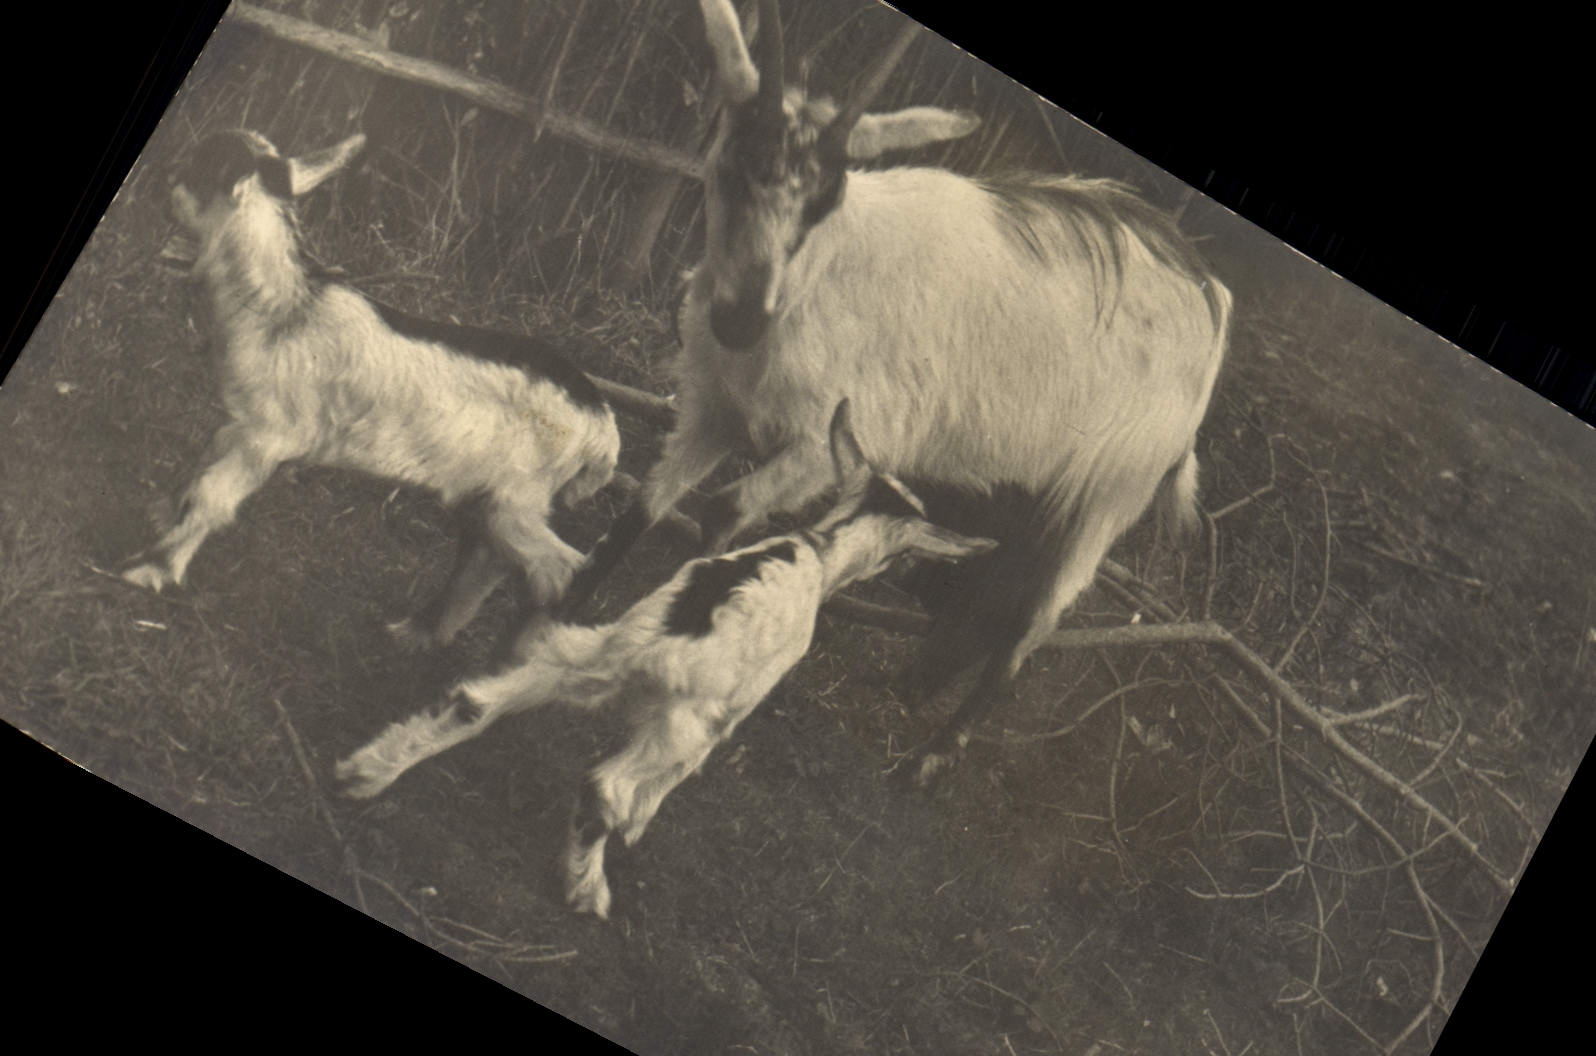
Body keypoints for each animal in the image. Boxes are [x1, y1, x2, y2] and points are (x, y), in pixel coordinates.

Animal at [119, 130, 620, 647]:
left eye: (197, 169)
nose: (159, 181)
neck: (283, 307)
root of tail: (603, 427)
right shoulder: (241, 420)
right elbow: (201, 464)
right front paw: (162, 517)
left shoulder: (269, 434)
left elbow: (212, 495)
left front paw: (153, 569)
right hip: (492, 495)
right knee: (488, 558)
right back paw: (417, 633)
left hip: (519, 494)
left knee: (560, 573)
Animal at [335, 399, 997, 918]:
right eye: (898, 558)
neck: (821, 550)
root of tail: (658, 643)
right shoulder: (735, 707)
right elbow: (676, 778)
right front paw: (637, 828)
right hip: (680, 719)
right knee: (608, 784)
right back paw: (589, 889)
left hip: (581, 654)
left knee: (475, 701)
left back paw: (366, 771)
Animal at [560, 0, 1233, 784]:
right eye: (730, 164)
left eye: (826, 200)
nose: (740, 317)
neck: (815, 280)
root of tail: (1209, 296)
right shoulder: (714, 408)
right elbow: (645, 504)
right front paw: (560, 616)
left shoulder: (825, 442)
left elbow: (724, 510)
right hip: (1030, 482)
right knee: (997, 578)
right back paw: (913, 685)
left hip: (1108, 495)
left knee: (1034, 620)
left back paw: (931, 758)